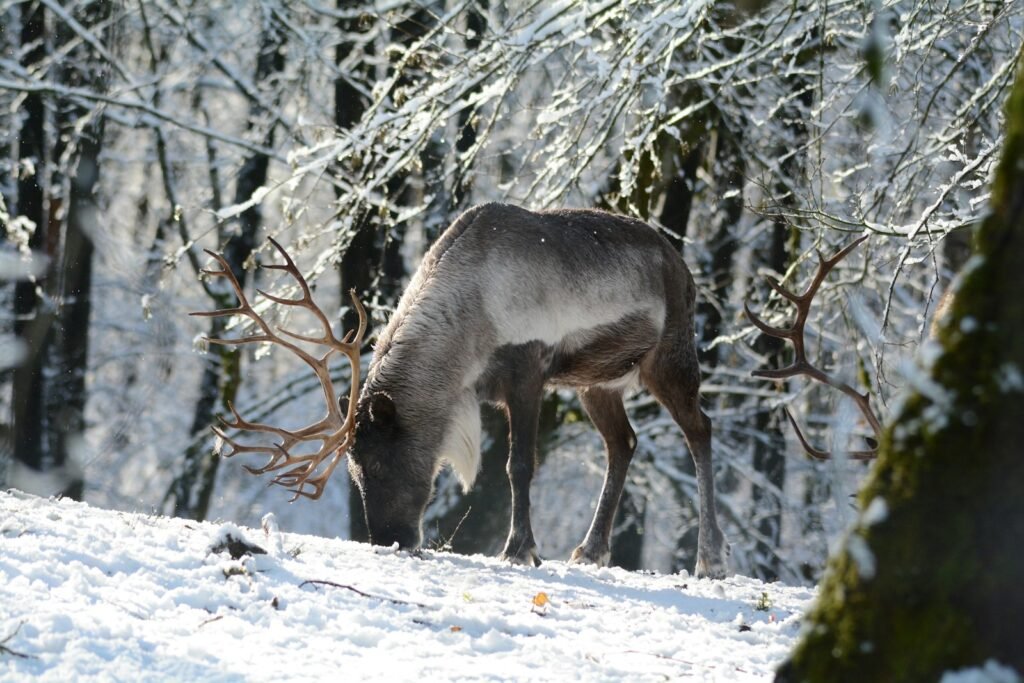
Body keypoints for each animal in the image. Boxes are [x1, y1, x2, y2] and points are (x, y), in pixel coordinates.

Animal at [195, 203, 731, 579]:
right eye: (353, 469)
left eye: (381, 461)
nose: (388, 538)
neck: (467, 330)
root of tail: (683, 266)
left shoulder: (528, 369)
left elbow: (518, 465)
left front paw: (519, 549)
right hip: (596, 381)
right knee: (623, 442)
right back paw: (591, 550)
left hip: (670, 355)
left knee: (701, 428)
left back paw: (710, 557)